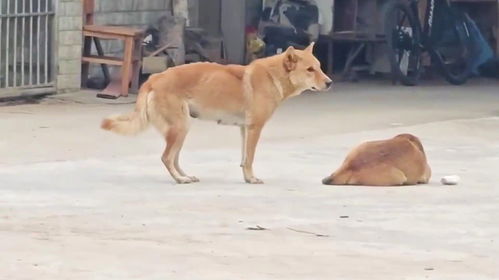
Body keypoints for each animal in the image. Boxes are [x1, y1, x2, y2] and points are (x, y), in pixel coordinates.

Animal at [102, 43, 332, 184]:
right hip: (180, 127)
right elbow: (250, 158)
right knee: (166, 158)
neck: (273, 75)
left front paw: (246, 177)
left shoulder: (245, 129)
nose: (330, 83)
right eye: (310, 70)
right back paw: (180, 179)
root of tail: (153, 79)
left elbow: (244, 158)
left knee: (174, 159)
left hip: (182, 129)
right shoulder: (255, 128)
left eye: (320, 67)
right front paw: (252, 179)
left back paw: (185, 176)